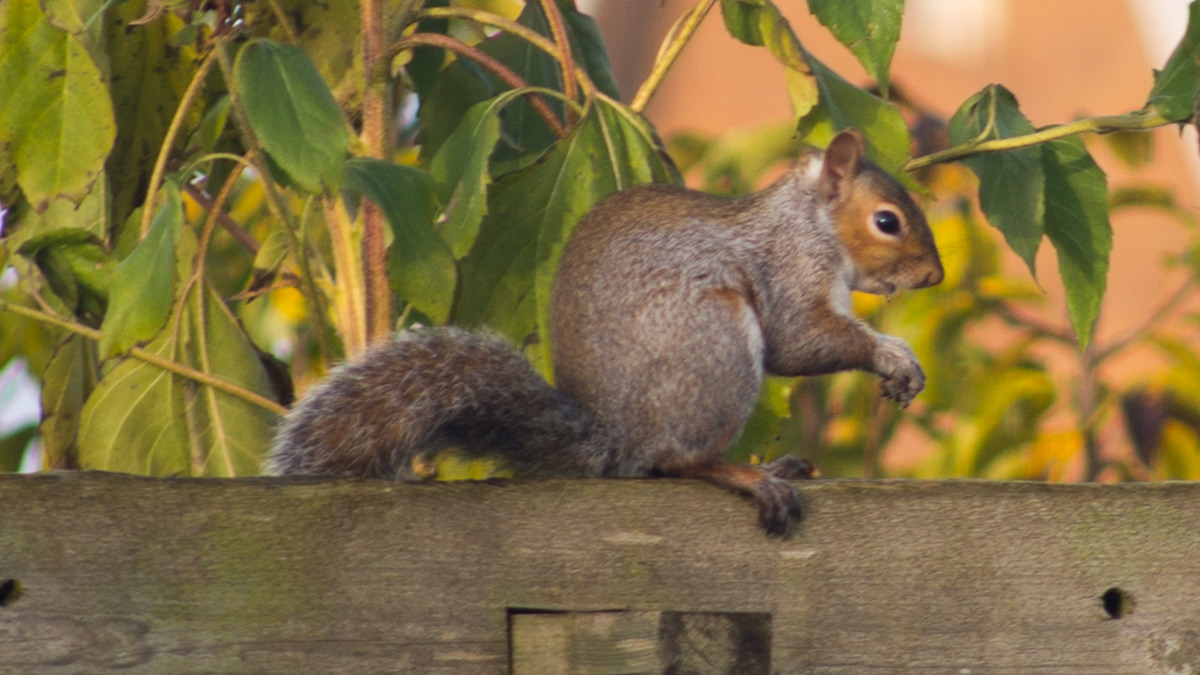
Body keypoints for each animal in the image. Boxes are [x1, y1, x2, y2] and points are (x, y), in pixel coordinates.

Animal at [270, 128, 945, 533]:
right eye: (887, 221)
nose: (934, 276)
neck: (811, 224)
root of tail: (615, 438)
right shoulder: (788, 271)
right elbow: (799, 340)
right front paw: (891, 354)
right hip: (712, 342)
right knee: (677, 461)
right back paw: (750, 476)